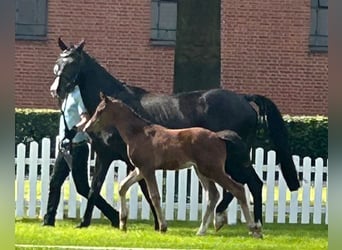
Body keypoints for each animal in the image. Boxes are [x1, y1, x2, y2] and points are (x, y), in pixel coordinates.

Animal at [85, 93, 262, 237]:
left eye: (100, 111)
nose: (87, 127)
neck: (139, 133)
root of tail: (219, 137)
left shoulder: (147, 170)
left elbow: (154, 196)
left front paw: (163, 227)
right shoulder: (140, 169)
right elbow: (122, 187)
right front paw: (123, 223)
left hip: (212, 170)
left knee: (238, 188)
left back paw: (254, 229)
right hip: (201, 171)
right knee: (213, 195)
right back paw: (202, 230)